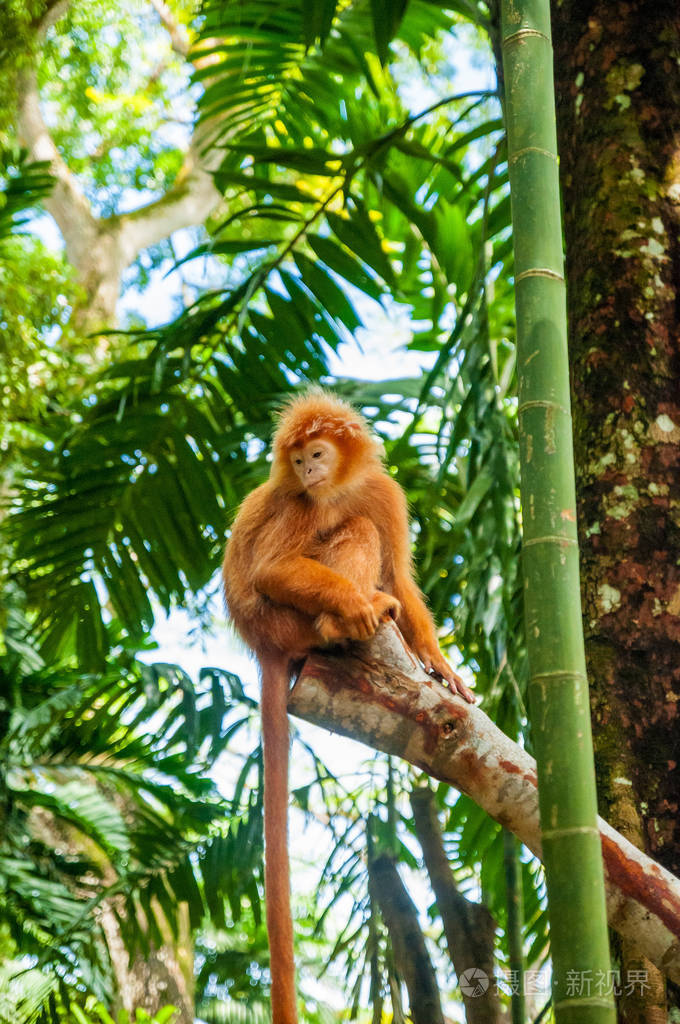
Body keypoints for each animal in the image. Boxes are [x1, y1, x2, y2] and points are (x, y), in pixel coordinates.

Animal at [223, 391, 473, 1024]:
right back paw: (344, 621)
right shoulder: (298, 502)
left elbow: (402, 576)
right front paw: (358, 610)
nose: (307, 471)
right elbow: (273, 568)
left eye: (317, 454)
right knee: (349, 535)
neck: (332, 489)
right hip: (280, 619)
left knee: (363, 530)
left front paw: (440, 664)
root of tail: (258, 641)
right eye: (299, 460)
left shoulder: (383, 492)